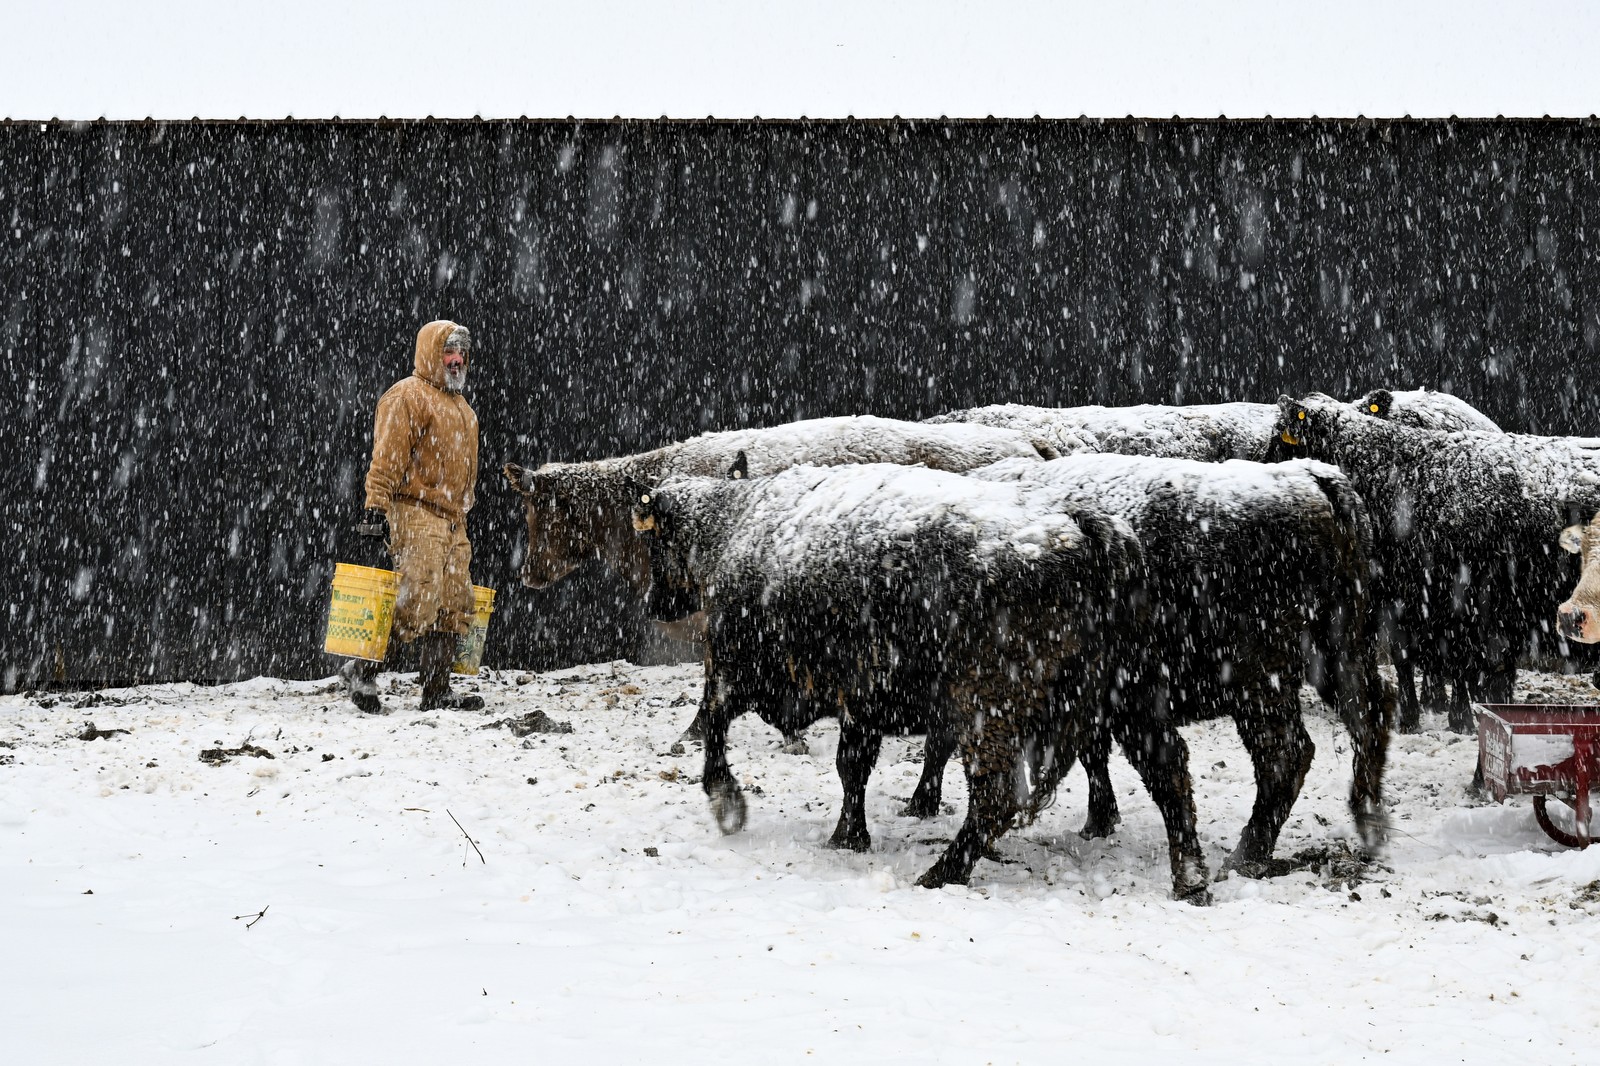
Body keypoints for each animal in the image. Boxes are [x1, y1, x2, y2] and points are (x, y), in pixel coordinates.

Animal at [630, 459, 1212, 901]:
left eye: (657, 546)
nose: (653, 602)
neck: (736, 524)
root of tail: (1081, 525)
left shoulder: (740, 670)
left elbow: (714, 730)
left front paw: (727, 803)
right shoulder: (860, 702)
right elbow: (852, 768)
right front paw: (849, 835)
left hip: (989, 712)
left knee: (996, 797)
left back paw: (941, 873)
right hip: (1133, 696)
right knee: (1169, 773)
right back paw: (1190, 881)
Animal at [971, 453, 1394, 875]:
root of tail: (1309, 476)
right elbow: (1094, 752)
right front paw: (1098, 823)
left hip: (1259, 683)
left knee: (1285, 754)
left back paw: (1244, 858)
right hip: (1337, 654)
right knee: (1370, 714)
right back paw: (1370, 826)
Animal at [1275, 393, 1600, 733]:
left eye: (1279, 440)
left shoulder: (1460, 600)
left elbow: (1460, 662)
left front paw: (1461, 717)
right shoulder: (1399, 599)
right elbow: (1405, 658)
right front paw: (1410, 717)